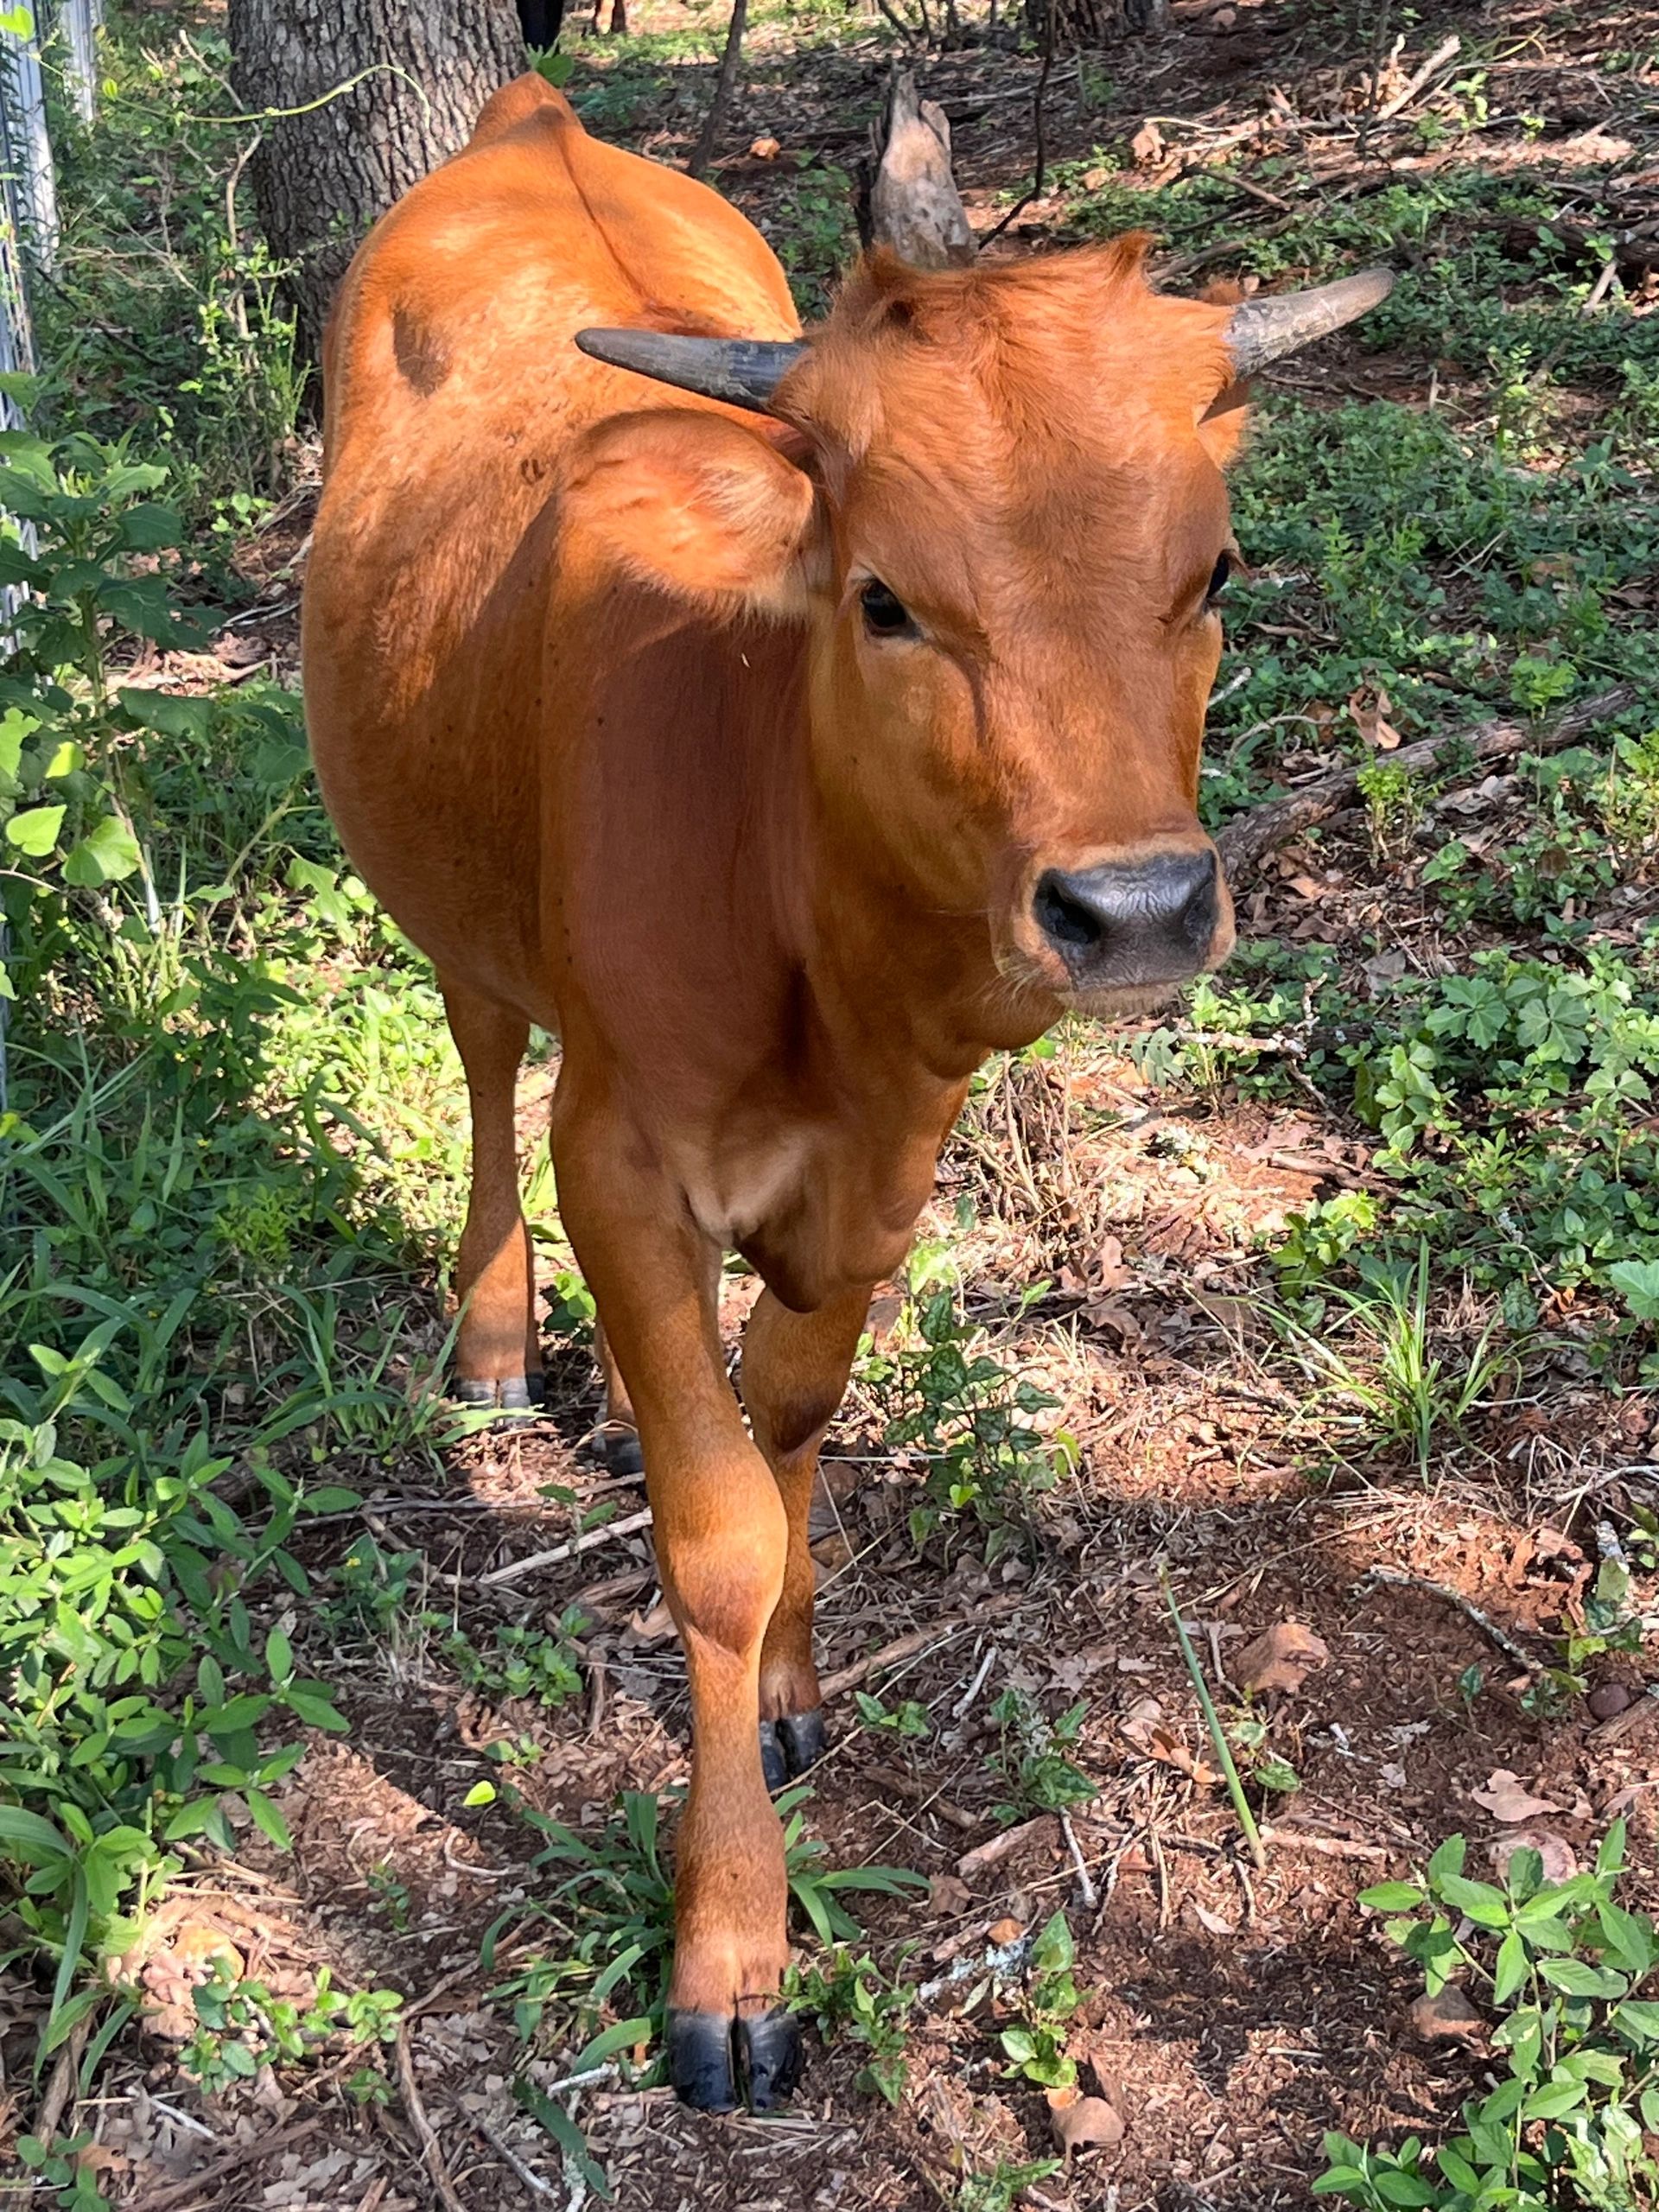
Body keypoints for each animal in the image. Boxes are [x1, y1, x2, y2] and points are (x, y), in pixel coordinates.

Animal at [304, 72, 1389, 2113]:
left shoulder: (890, 1160)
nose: (1138, 908)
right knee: (478, 1044)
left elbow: (793, 1414)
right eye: (887, 598)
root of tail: (528, 114)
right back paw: (490, 1333)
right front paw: (732, 1946)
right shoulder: (621, 1163)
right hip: (444, 890)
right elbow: (713, 1532)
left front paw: (798, 1682)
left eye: (1212, 572)